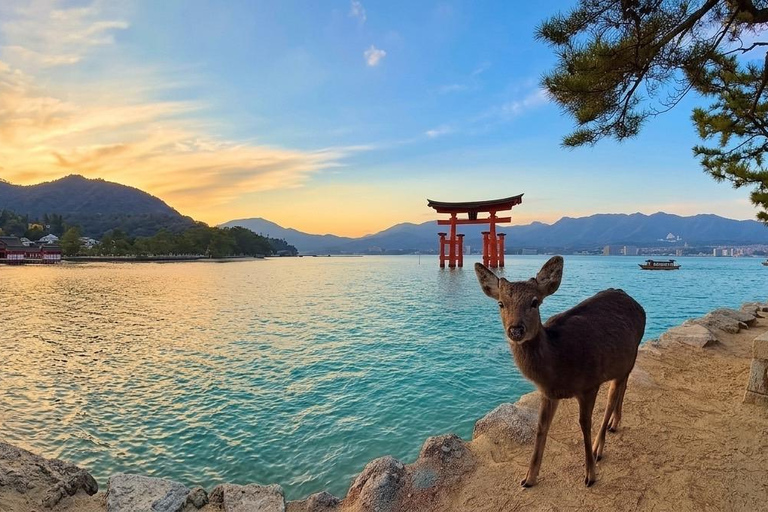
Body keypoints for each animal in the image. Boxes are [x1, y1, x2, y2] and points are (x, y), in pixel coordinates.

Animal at [475, 256, 645, 488]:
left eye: (535, 302)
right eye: (501, 303)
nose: (516, 330)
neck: (558, 364)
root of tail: (636, 303)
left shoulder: (589, 384)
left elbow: (584, 424)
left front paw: (590, 475)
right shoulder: (548, 392)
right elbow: (541, 427)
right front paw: (528, 479)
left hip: (627, 357)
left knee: (611, 399)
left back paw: (598, 448)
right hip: (622, 363)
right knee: (622, 387)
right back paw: (614, 424)